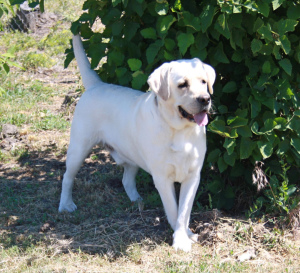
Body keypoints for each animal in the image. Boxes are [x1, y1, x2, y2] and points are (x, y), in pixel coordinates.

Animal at [58, 35, 214, 252]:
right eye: (182, 84)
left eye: (203, 82)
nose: (205, 99)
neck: (179, 131)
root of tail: (96, 85)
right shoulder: (162, 177)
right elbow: (174, 210)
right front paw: (180, 239)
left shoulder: (193, 176)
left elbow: (184, 212)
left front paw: (186, 234)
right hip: (79, 148)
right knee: (67, 177)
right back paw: (66, 205)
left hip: (131, 156)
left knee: (126, 179)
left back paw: (137, 201)